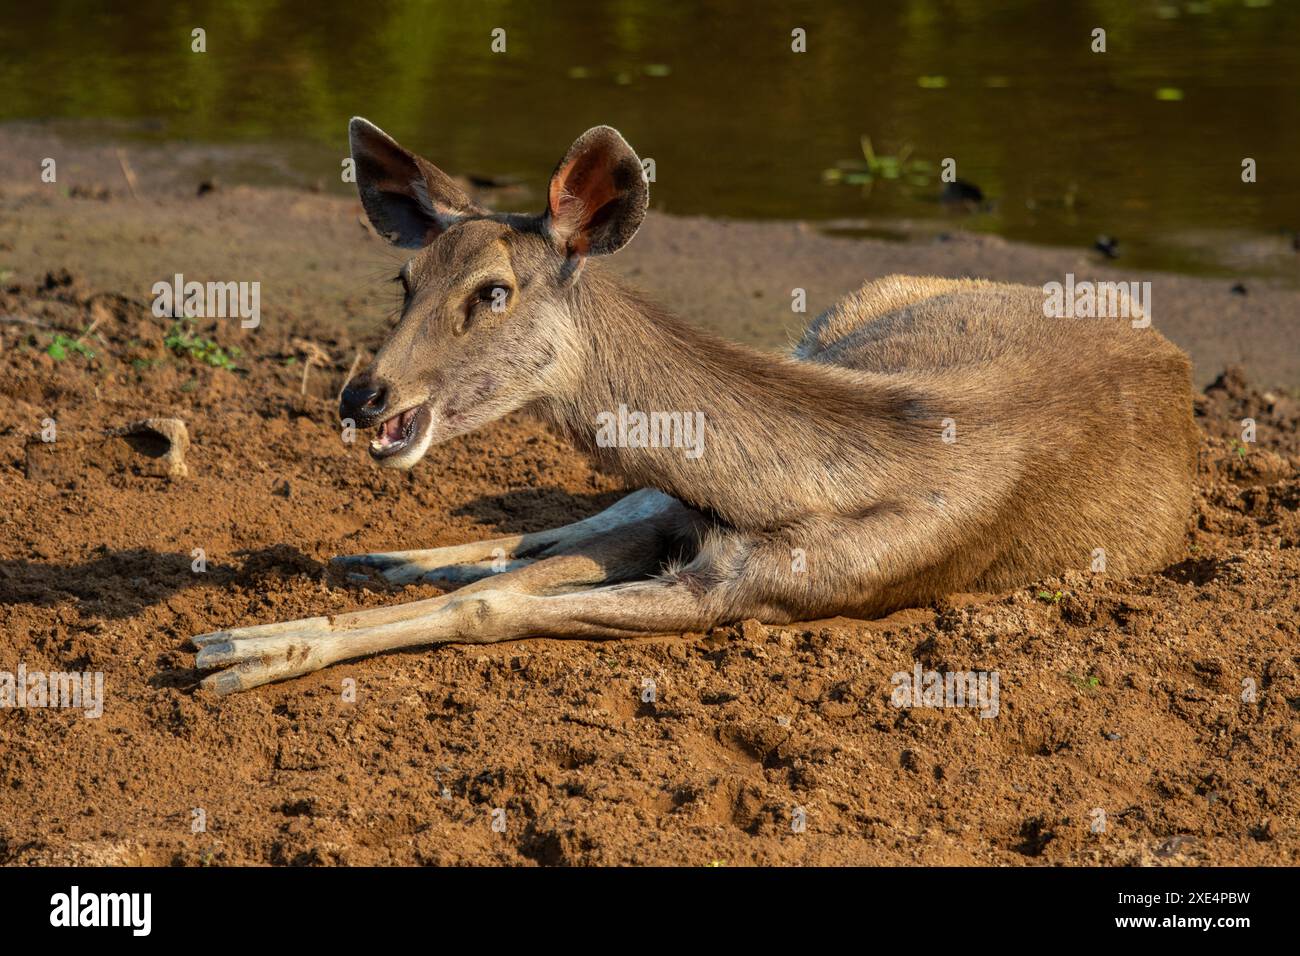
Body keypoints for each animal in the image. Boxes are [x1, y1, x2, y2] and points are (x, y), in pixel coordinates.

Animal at [188, 119, 1190, 697]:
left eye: (492, 292)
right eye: (404, 280)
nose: (366, 396)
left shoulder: (763, 591)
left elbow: (495, 605)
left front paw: (244, 652)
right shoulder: (690, 523)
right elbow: (515, 574)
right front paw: (254, 636)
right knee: (562, 521)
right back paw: (375, 558)